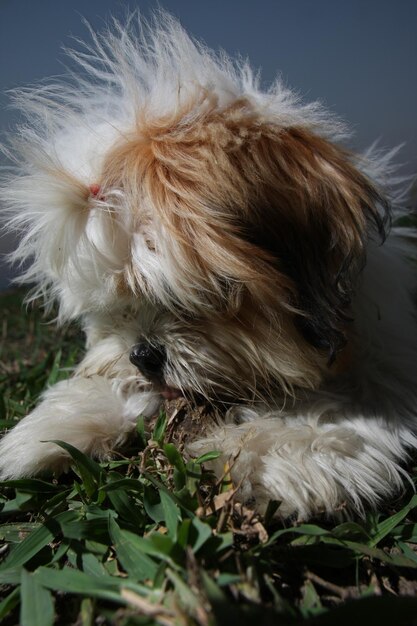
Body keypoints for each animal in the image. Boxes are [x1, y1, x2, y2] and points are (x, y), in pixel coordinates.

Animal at [0, 12, 416, 516]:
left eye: (208, 295)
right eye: (111, 309)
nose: (144, 354)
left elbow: (335, 414)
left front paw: (258, 453)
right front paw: (53, 427)